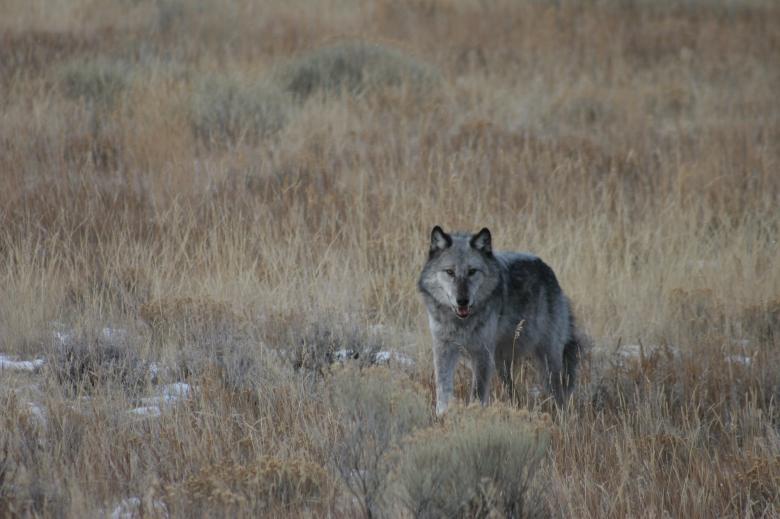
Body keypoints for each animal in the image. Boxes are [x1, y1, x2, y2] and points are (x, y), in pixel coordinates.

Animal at [418, 226, 583, 414]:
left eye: (472, 271)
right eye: (450, 272)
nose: (462, 301)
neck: (461, 323)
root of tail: (548, 270)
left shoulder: (482, 354)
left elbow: (477, 393)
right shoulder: (443, 350)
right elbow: (443, 390)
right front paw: (442, 416)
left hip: (548, 360)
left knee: (558, 393)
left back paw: (561, 416)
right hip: (501, 363)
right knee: (512, 390)